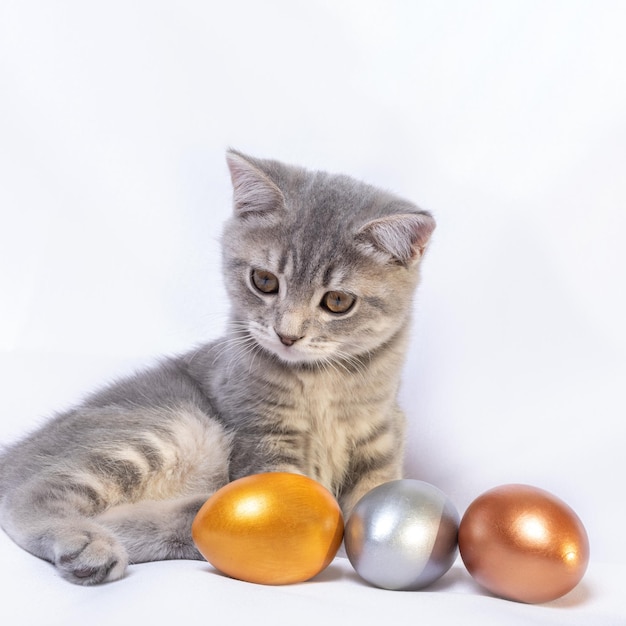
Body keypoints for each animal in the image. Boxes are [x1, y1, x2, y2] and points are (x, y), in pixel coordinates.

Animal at [0, 149, 434, 584]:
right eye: (264, 280)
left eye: (338, 302)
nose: (287, 335)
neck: (322, 383)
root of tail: (11, 455)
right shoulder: (263, 438)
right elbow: (289, 497)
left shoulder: (382, 436)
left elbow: (372, 492)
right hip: (180, 427)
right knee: (27, 496)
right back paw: (87, 544)